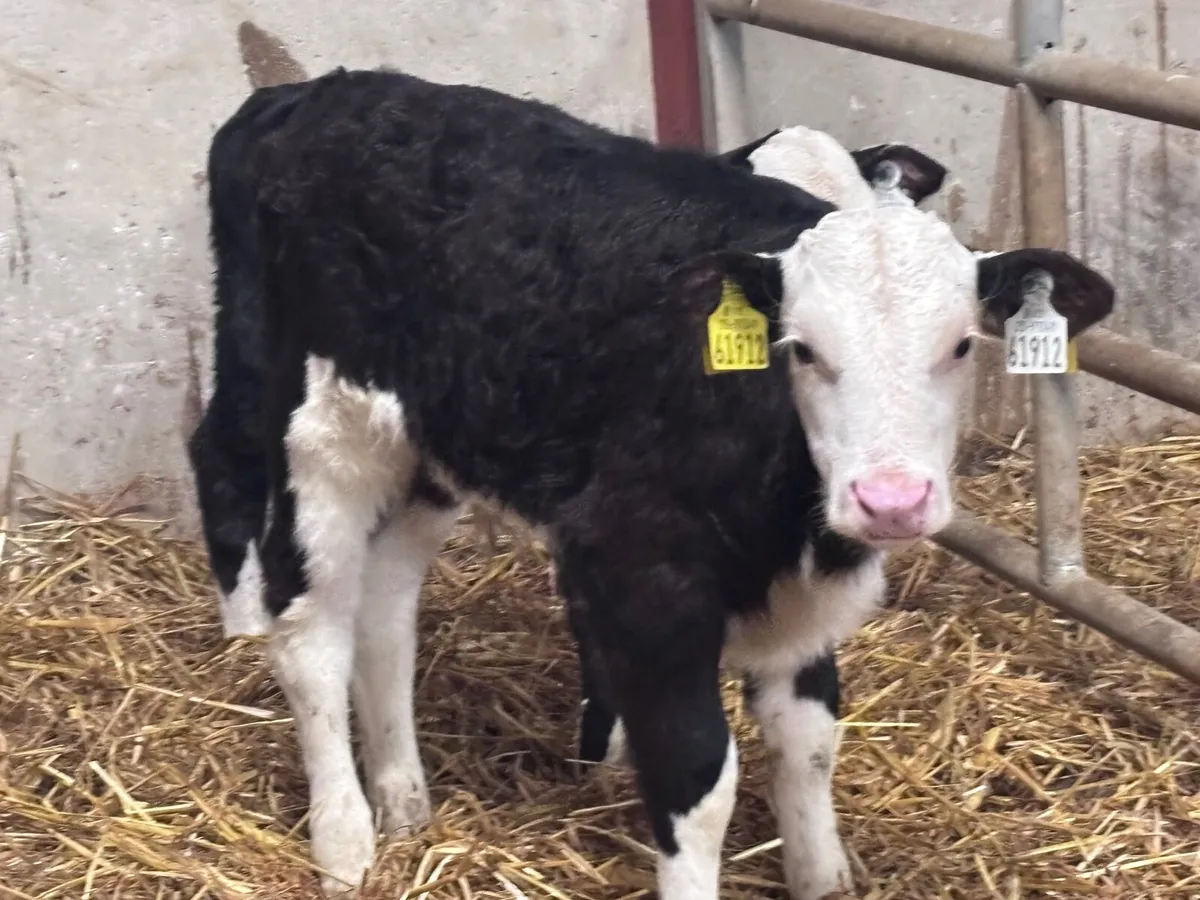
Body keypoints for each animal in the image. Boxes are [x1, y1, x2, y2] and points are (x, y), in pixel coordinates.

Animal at [188, 67, 1114, 900]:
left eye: (960, 344)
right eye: (803, 347)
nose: (891, 500)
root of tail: (310, 93)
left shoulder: (798, 598)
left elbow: (809, 739)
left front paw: (821, 876)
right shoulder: (639, 566)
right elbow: (696, 778)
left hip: (430, 448)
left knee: (384, 605)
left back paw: (403, 797)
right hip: (313, 428)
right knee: (307, 623)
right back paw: (344, 842)